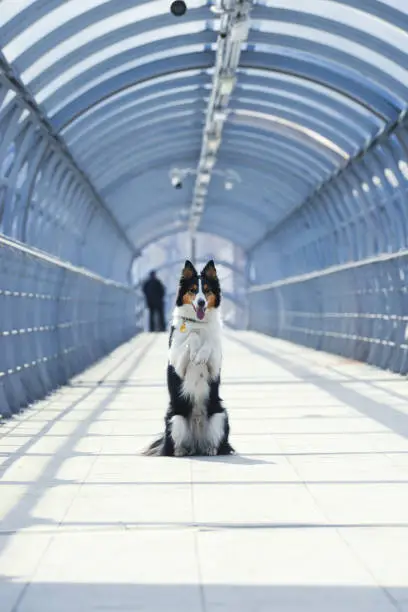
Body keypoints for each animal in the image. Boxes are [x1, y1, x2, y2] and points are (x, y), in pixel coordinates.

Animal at [143, 258, 233, 454]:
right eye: (192, 290)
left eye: (206, 290)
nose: (200, 303)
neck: (199, 323)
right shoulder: (177, 364)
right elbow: (191, 337)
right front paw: (194, 351)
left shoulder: (215, 366)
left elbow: (209, 343)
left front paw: (200, 355)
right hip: (174, 418)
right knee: (174, 446)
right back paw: (181, 451)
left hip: (220, 415)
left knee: (217, 443)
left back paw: (211, 450)